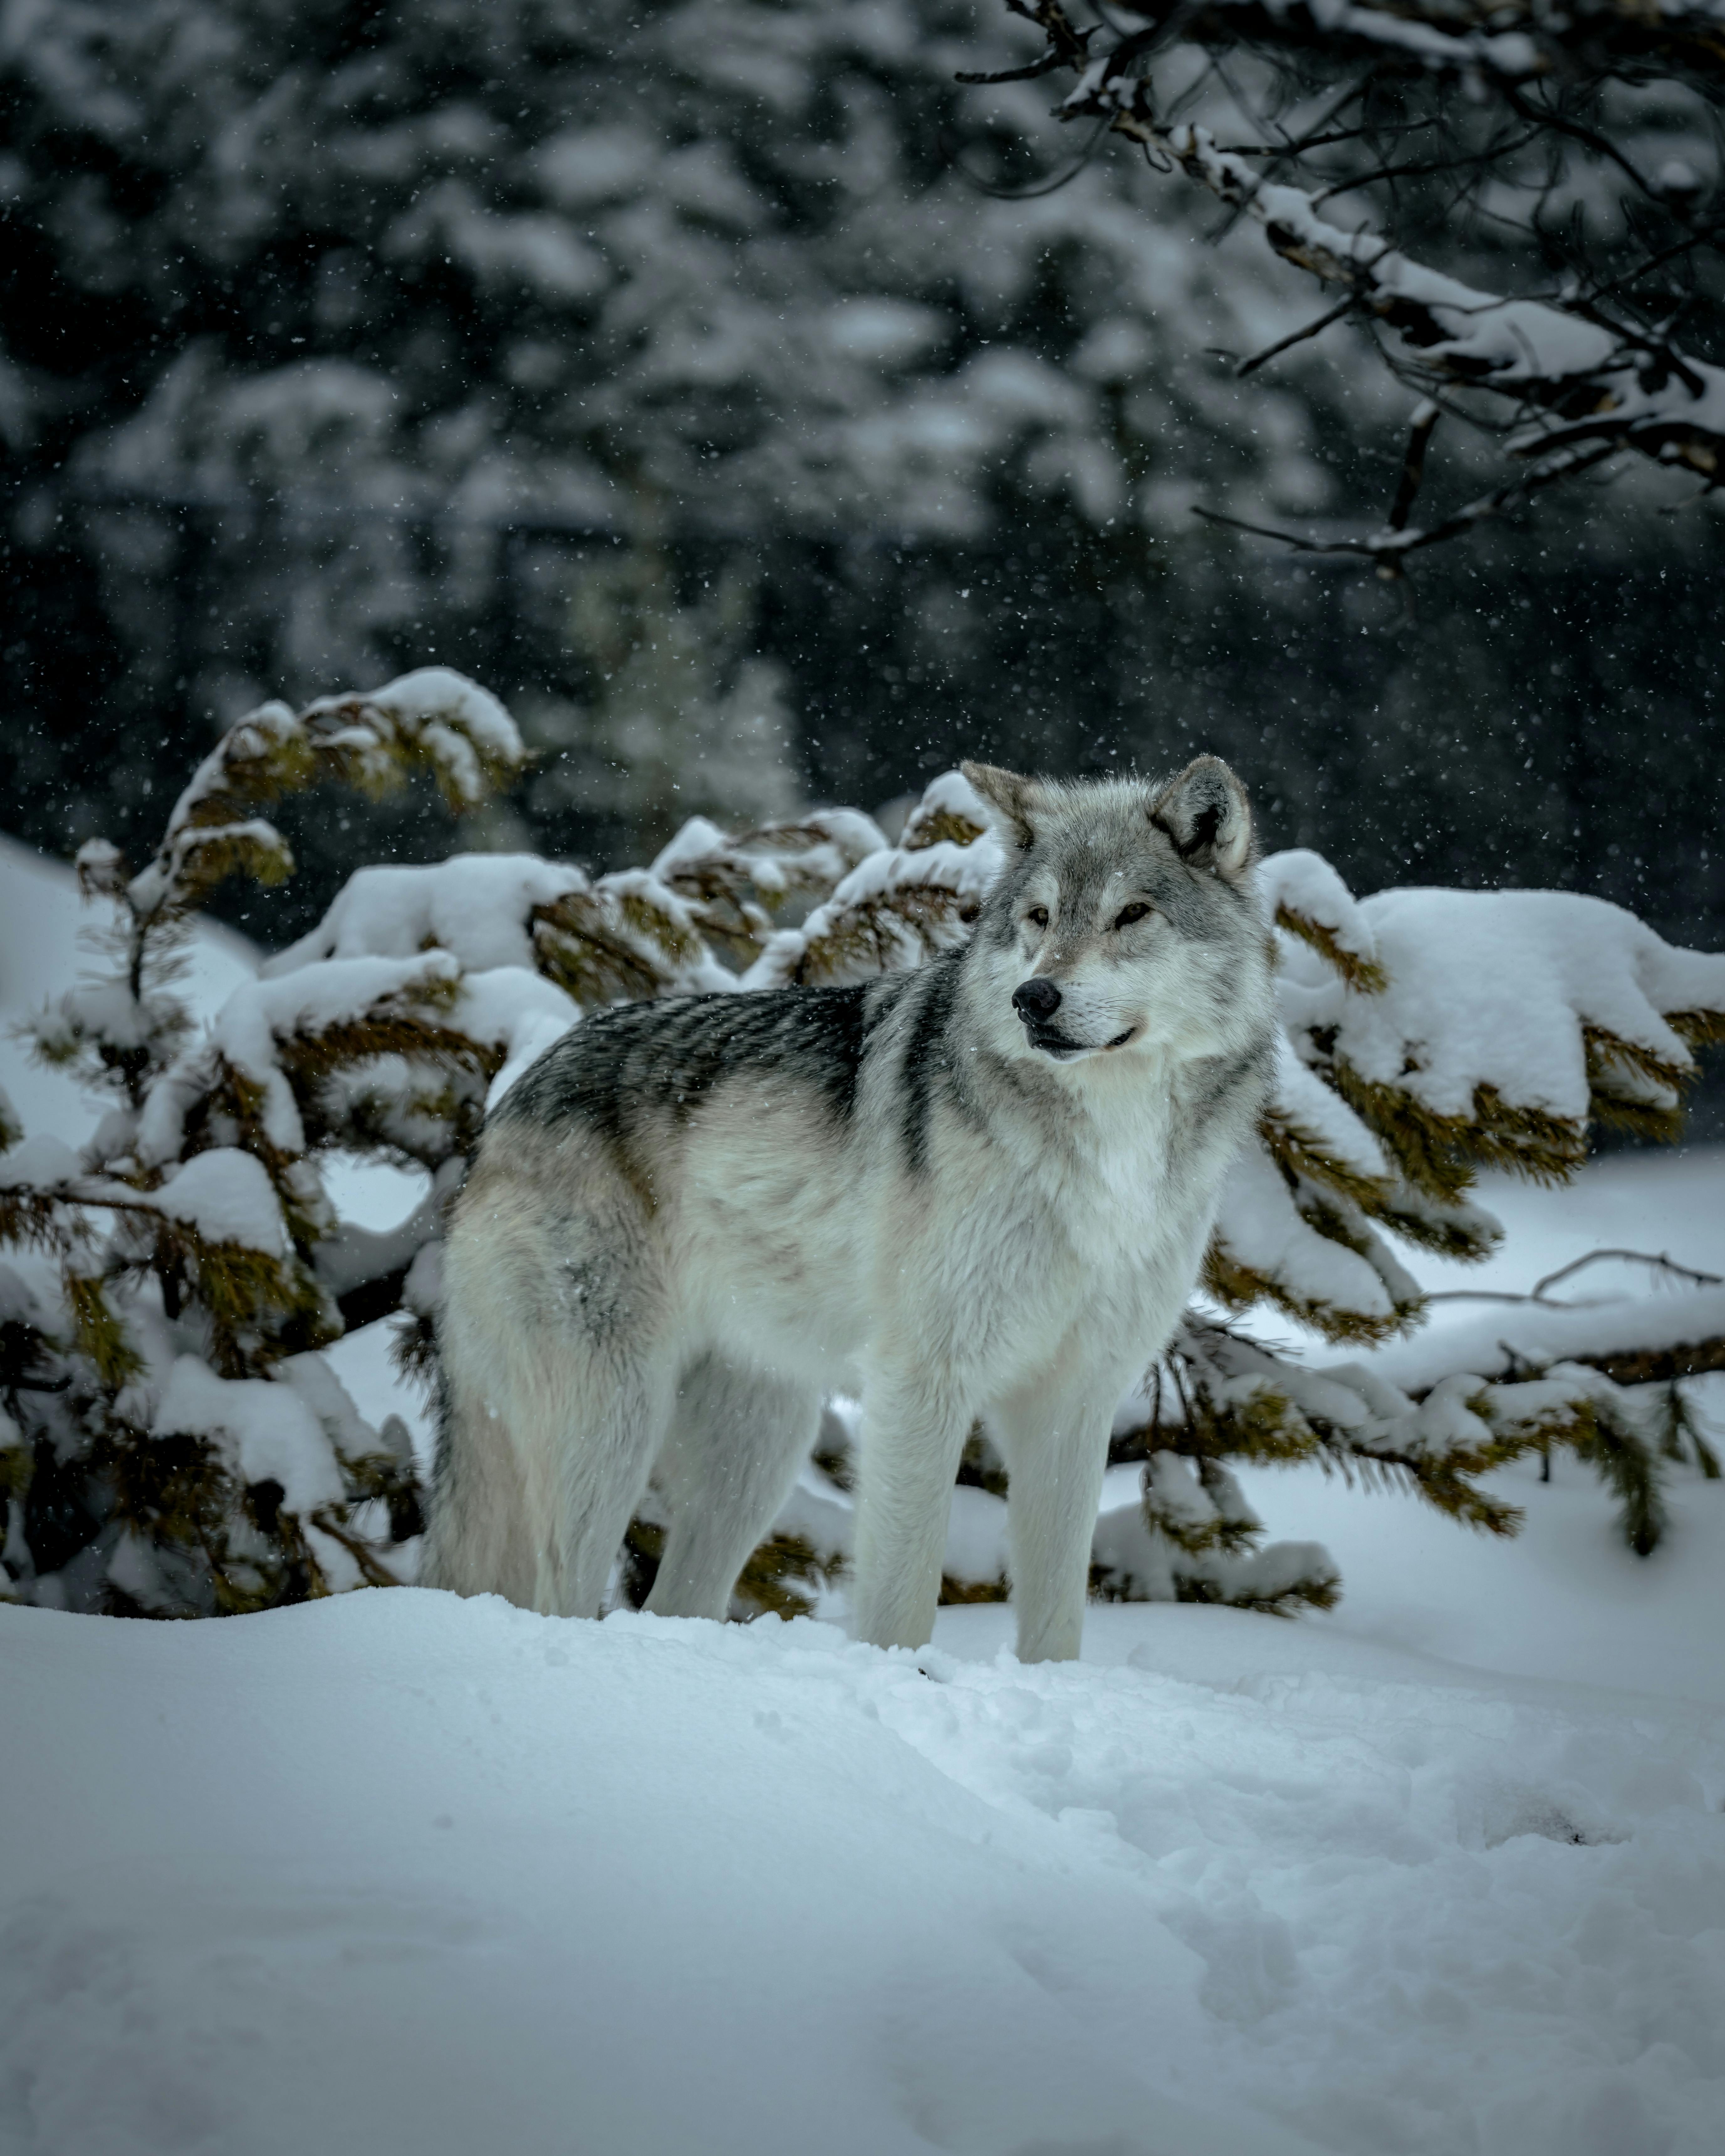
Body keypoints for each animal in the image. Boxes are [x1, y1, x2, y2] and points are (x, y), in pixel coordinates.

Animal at [422, 756, 1277, 1661]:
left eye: (1131, 914)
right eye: (1040, 917)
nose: (1034, 997)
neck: (1107, 1149)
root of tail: (505, 1105)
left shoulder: (1072, 1403)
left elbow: (1056, 1619)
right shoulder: (921, 1381)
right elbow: (903, 1601)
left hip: (755, 1451)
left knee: (675, 1601)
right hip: (614, 1428)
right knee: (563, 1599)